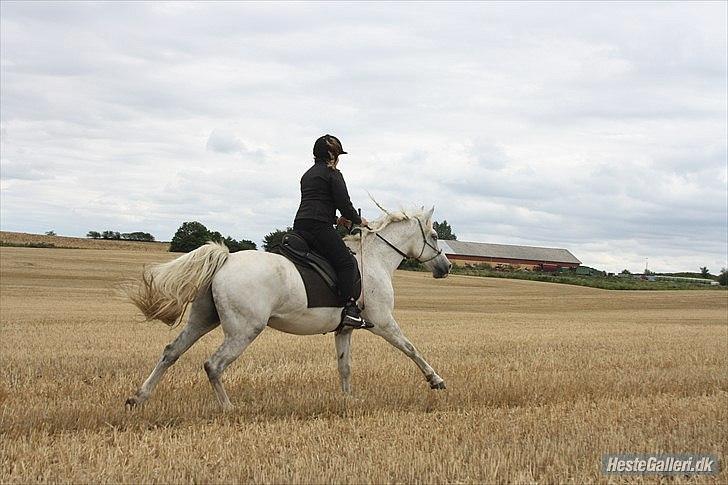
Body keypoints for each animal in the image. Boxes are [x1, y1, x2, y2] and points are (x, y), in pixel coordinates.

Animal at [128, 206, 452, 406]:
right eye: (435, 236)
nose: (446, 267)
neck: (375, 259)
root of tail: (226, 260)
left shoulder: (345, 329)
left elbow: (344, 366)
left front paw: (348, 399)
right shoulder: (383, 321)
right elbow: (411, 348)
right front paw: (435, 380)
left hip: (203, 320)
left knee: (171, 352)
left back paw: (139, 397)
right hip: (244, 330)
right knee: (213, 364)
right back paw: (229, 408)